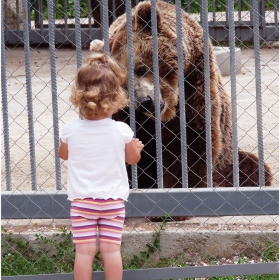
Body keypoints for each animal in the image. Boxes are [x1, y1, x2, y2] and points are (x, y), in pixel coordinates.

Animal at [89, 0, 272, 188]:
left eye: (141, 68)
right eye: (123, 85)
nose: (145, 101)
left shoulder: (194, 83)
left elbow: (189, 147)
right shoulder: (126, 114)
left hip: (227, 160)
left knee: (250, 167)